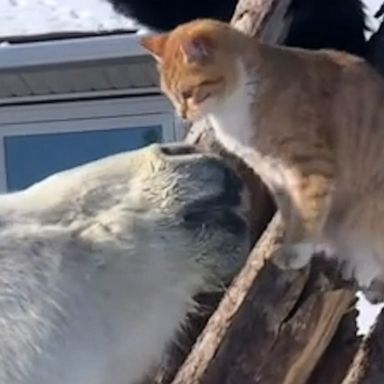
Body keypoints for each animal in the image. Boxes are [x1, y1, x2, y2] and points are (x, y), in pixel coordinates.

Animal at [141, 18, 384, 304]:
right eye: (171, 95)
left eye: (188, 93)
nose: (183, 115)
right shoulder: (273, 175)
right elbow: (291, 213)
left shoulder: (311, 166)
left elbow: (308, 213)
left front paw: (296, 251)